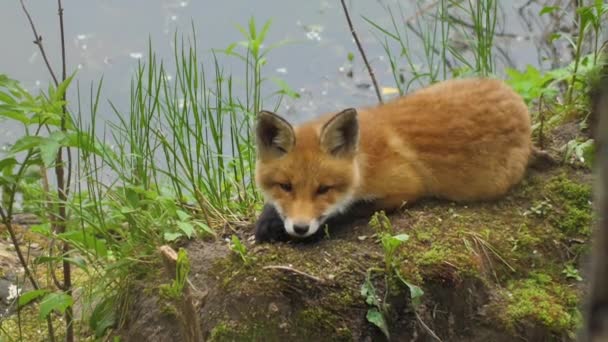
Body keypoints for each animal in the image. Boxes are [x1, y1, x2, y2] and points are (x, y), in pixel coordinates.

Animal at [255, 79, 532, 242]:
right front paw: (268, 219)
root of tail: (516, 98)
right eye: (286, 187)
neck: (364, 161)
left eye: (324, 189)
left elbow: (349, 210)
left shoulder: (407, 188)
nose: (300, 228)